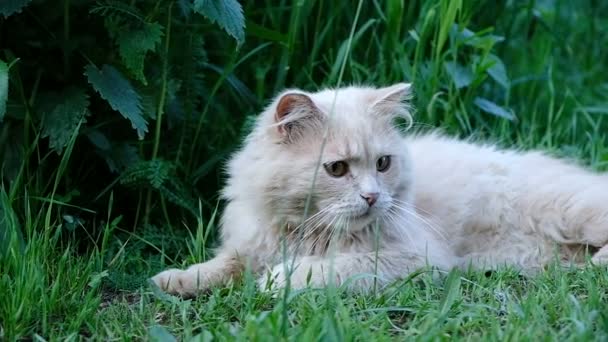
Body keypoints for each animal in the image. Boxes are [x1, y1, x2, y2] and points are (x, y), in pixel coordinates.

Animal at [151, 82, 608, 296]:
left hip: (576, 212)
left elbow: (325, 271)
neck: (304, 232)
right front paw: (175, 280)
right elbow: (222, 265)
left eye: (382, 164)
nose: (372, 196)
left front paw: (280, 280)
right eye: (336, 169)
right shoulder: (249, 247)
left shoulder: (415, 258)